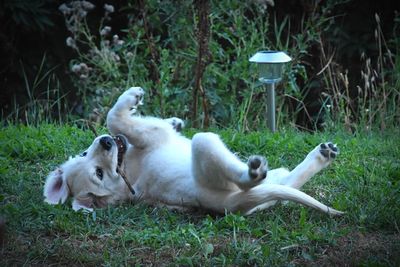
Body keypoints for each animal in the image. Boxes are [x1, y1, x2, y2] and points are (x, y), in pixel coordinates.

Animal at [43, 87, 344, 217]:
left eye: (85, 154)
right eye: (99, 174)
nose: (106, 142)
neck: (127, 169)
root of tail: (226, 203)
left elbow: (120, 122)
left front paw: (175, 121)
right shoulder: (149, 133)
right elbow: (114, 117)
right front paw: (132, 96)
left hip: (269, 186)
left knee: (288, 182)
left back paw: (322, 154)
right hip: (206, 144)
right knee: (251, 180)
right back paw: (253, 171)